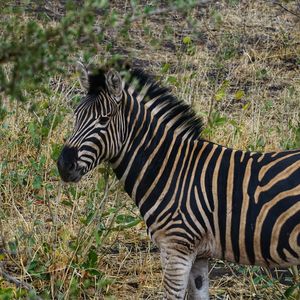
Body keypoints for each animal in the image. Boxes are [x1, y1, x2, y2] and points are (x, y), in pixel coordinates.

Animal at [58, 62, 300, 298]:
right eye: (76, 115)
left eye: (104, 119)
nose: (63, 165)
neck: (171, 169)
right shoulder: (198, 254)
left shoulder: (176, 249)